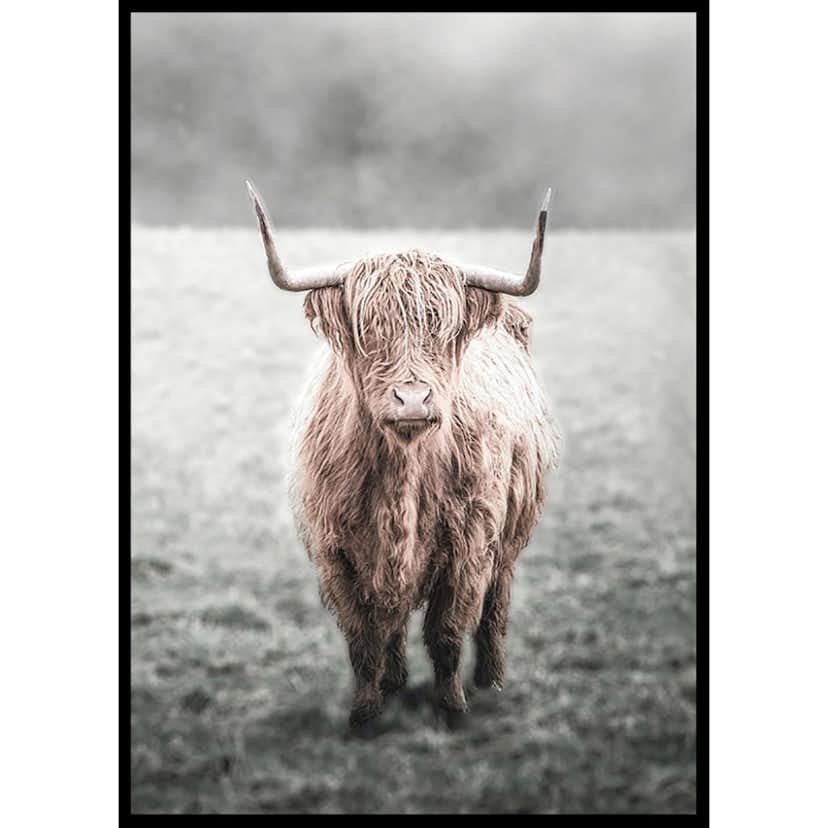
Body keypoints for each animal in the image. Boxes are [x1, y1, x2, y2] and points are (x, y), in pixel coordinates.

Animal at [246, 181, 558, 732]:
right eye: (369, 329)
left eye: (443, 330)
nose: (413, 399)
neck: (403, 474)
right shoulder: (336, 554)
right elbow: (363, 638)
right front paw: (365, 712)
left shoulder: (470, 547)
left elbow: (448, 633)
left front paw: (452, 707)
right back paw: (393, 681)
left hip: (509, 539)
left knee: (495, 608)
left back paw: (492, 679)